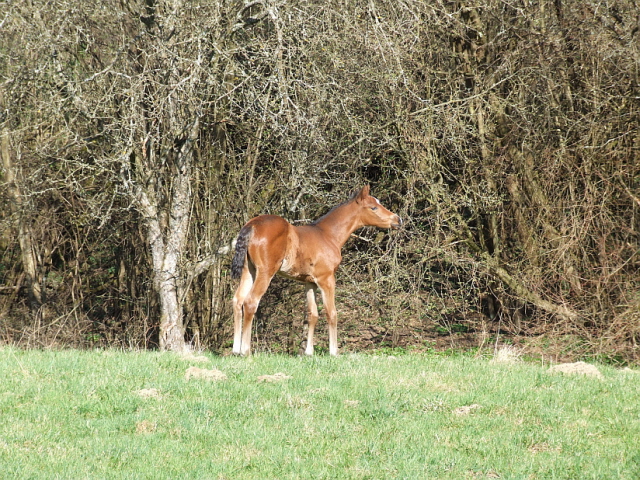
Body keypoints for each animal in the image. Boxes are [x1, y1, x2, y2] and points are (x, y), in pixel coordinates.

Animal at [230, 186, 400, 354]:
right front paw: (334, 352)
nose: (398, 220)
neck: (328, 235)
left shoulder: (309, 282)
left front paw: (309, 352)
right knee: (251, 301)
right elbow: (331, 313)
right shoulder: (326, 279)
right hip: (265, 272)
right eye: (373, 207)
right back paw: (246, 351)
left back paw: (236, 350)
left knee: (238, 300)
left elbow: (313, 314)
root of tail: (252, 225)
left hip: (249, 270)